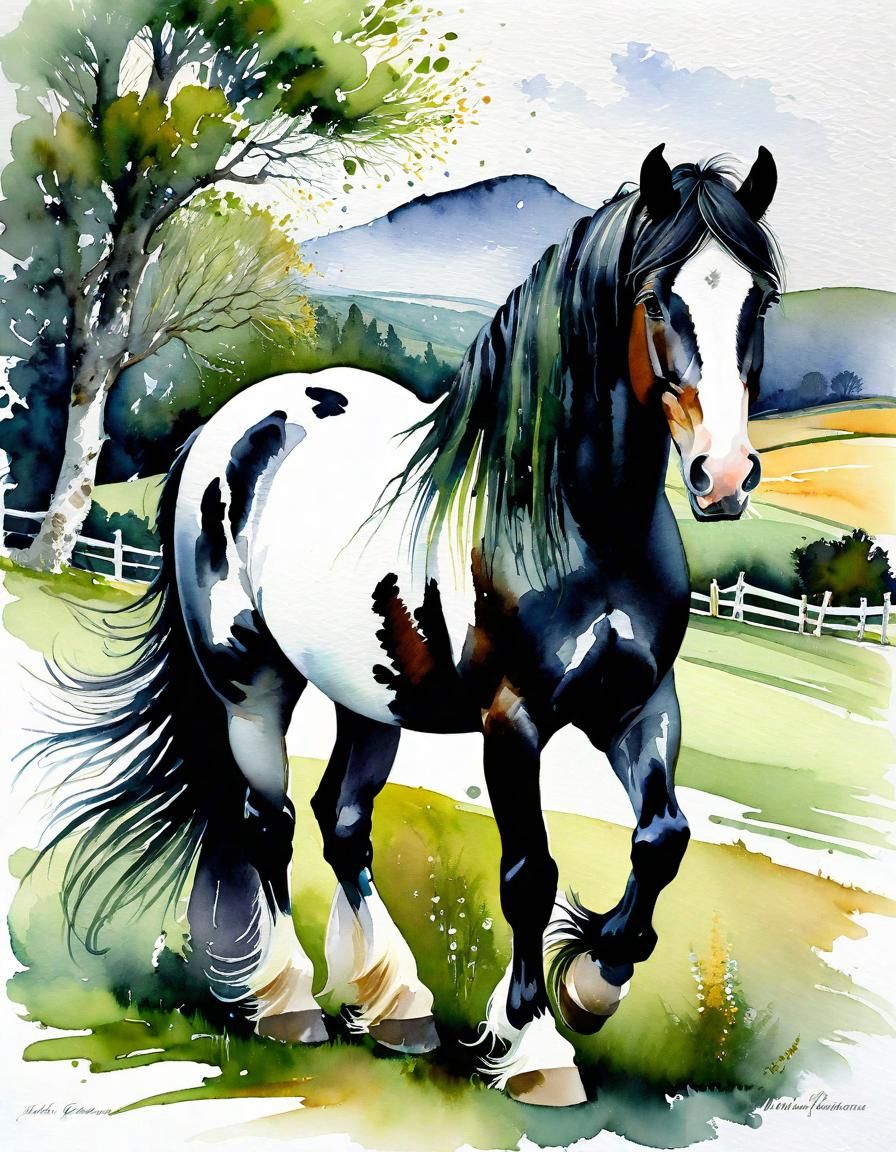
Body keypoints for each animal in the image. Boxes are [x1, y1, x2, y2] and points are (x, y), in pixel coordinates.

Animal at [34, 145, 781, 1107]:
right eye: (658, 300)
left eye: (760, 299)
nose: (723, 476)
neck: (573, 524)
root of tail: (232, 426)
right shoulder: (513, 723)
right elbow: (529, 875)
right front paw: (537, 1048)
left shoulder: (642, 704)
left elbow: (663, 841)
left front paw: (594, 985)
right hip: (250, 687)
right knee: (269, 822)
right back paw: (290, 1003)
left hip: (371, 699)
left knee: (342, 822)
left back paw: (396, 1008)